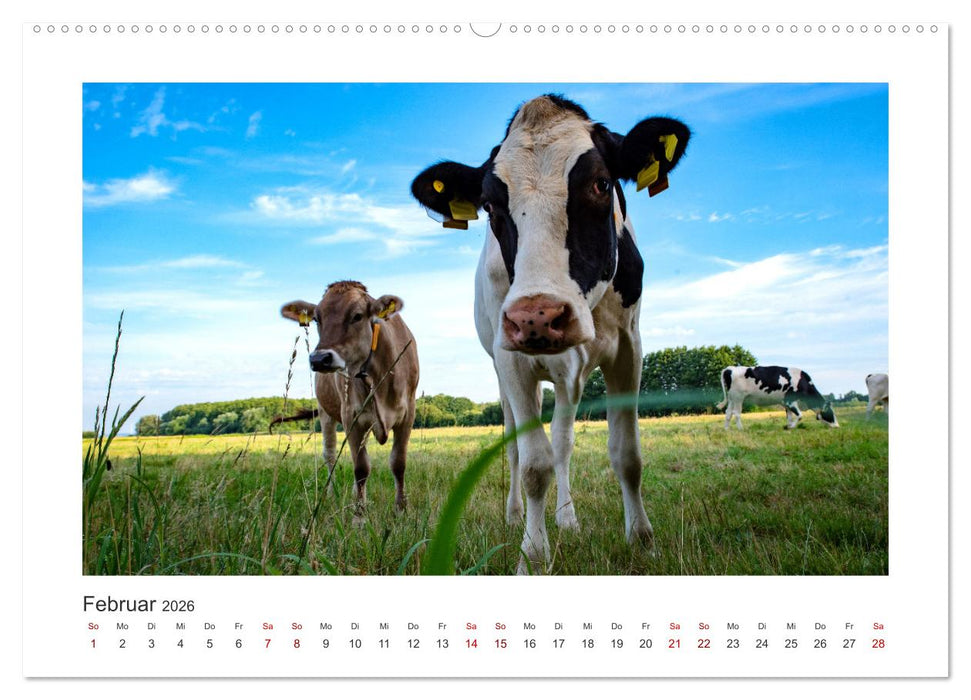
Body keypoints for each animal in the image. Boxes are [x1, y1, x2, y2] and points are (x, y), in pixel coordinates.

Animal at [279, 280, 419, 515]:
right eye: (317, 318)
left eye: (357, 316)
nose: (320, 359)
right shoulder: (350, 416)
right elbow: (361, 468)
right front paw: (359, 515)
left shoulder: (408, 412)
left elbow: (398, 463)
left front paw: (401, 510)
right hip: (325, 412)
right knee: (330, 454)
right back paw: (331, 494)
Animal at [411, 94, 691, 573]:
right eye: (489, 205)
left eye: (600, 184)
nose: (536, 317)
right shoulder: (511, 359)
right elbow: (531, 463)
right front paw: (532, 555)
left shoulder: (628, 349)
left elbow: (626, 454)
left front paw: (641, 539)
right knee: (514, 447)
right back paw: (514, 515)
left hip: (568, 377)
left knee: (563, 442)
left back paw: (567, 518)